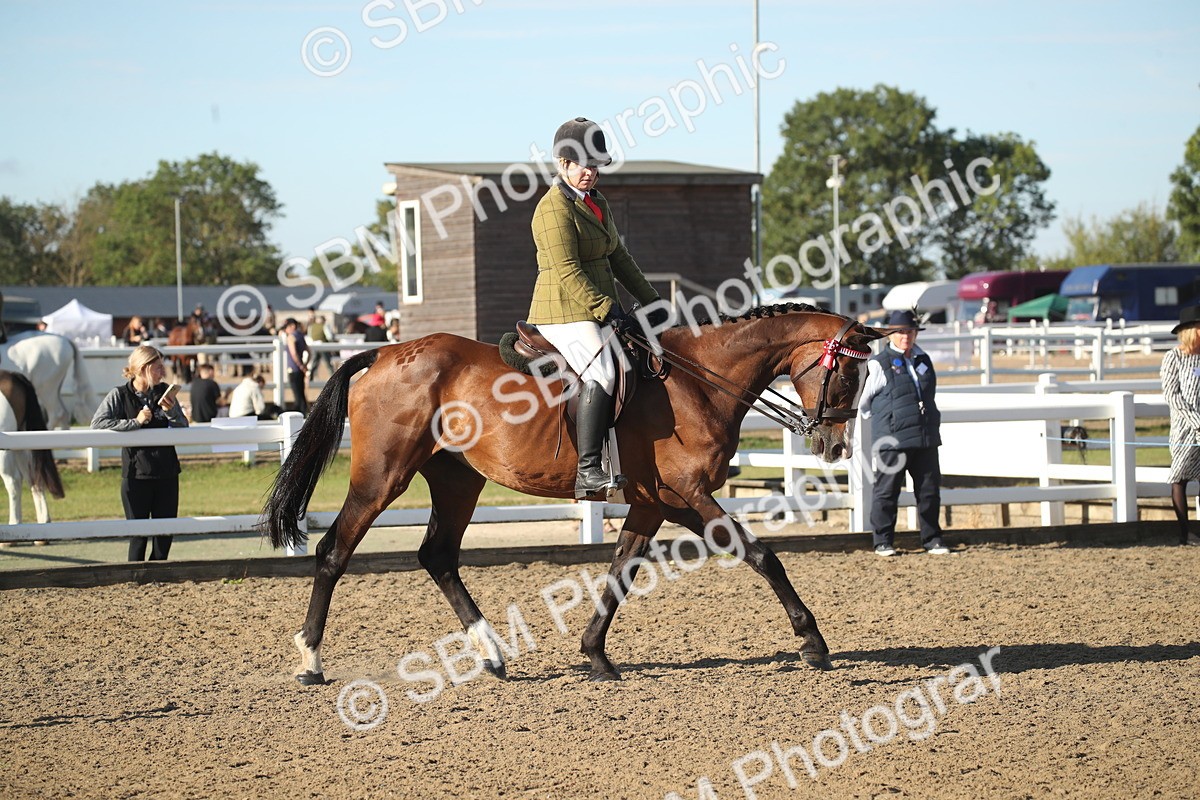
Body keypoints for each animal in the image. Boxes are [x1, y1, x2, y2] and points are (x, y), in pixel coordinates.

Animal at [263, 304, 885, 685]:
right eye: (847, 376)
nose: (834, 446)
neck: (700, 381)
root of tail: (389, 352)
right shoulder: (688, 493)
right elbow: (762, 555)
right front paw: (812, 642)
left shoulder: (657, 501)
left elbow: (620, 571)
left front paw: (595, 654)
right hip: (383, 476)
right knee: (334, 552)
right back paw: (311, 661)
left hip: (458, 479)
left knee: (437, 556)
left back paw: (492, 654)